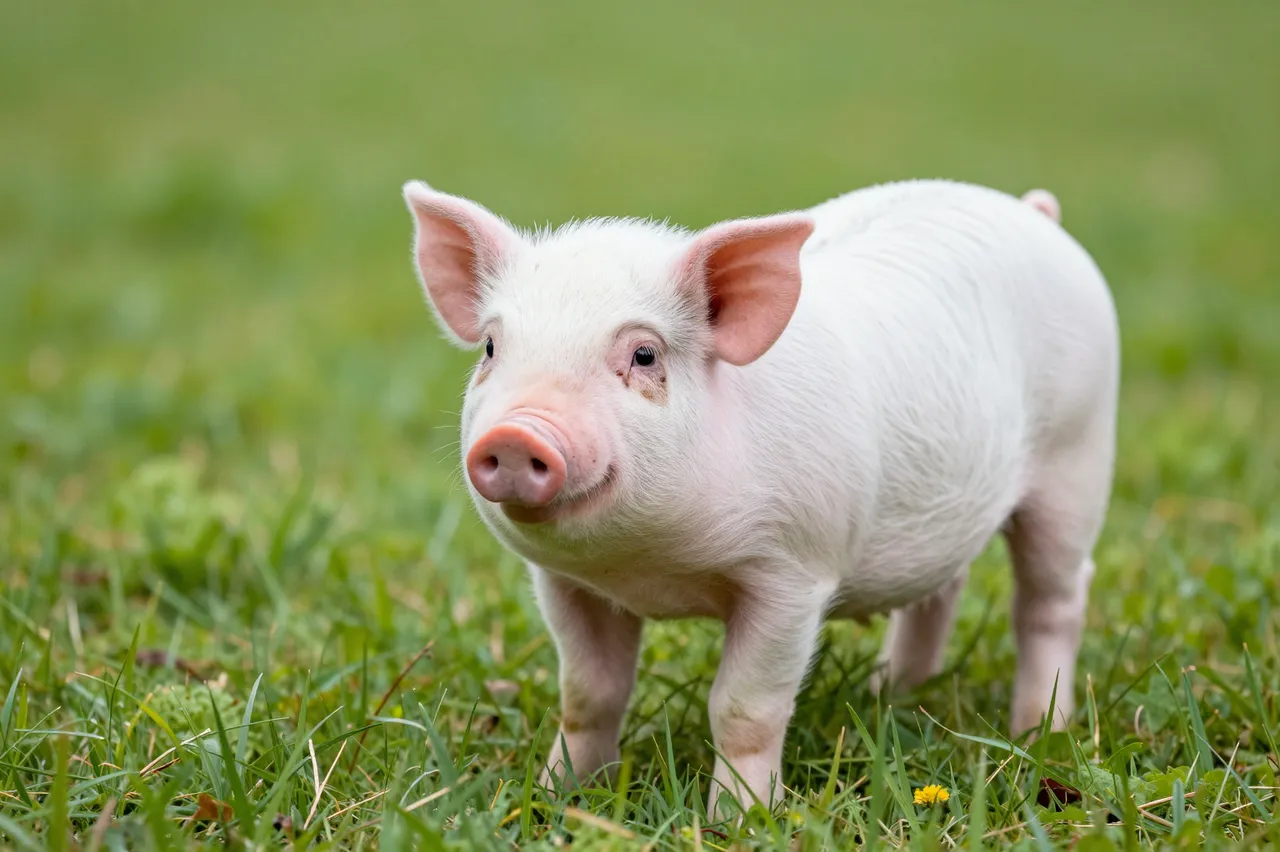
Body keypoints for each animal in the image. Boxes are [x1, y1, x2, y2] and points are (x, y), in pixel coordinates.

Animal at [401, 177, 1118, 818]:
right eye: (491, 347)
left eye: (644, 354)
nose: (517, 433)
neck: (649, 574)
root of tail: (1035, 213)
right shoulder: (564, 582)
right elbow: (587, 694)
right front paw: (559, 798)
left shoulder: (793, 574)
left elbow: (744, 708)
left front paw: (739, 819)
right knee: (943, 590)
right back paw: (891, 694)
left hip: (1077, 456)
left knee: (1053, 599)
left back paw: (1040, 730)